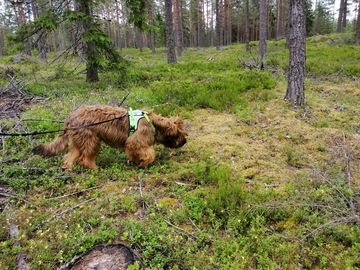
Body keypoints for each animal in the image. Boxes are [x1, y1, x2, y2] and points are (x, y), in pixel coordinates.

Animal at [33, 106, 187, 171]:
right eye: (179, 133)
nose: (185, 141)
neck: (152, 122)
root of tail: (70, 117)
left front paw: (135, 160)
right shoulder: (135, 142)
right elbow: (149, 153)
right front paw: (143, 163)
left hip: (80, 140)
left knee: (69, 157)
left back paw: (69, 169)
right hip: (91, 139)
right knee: (85, 158)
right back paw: (94, 169)